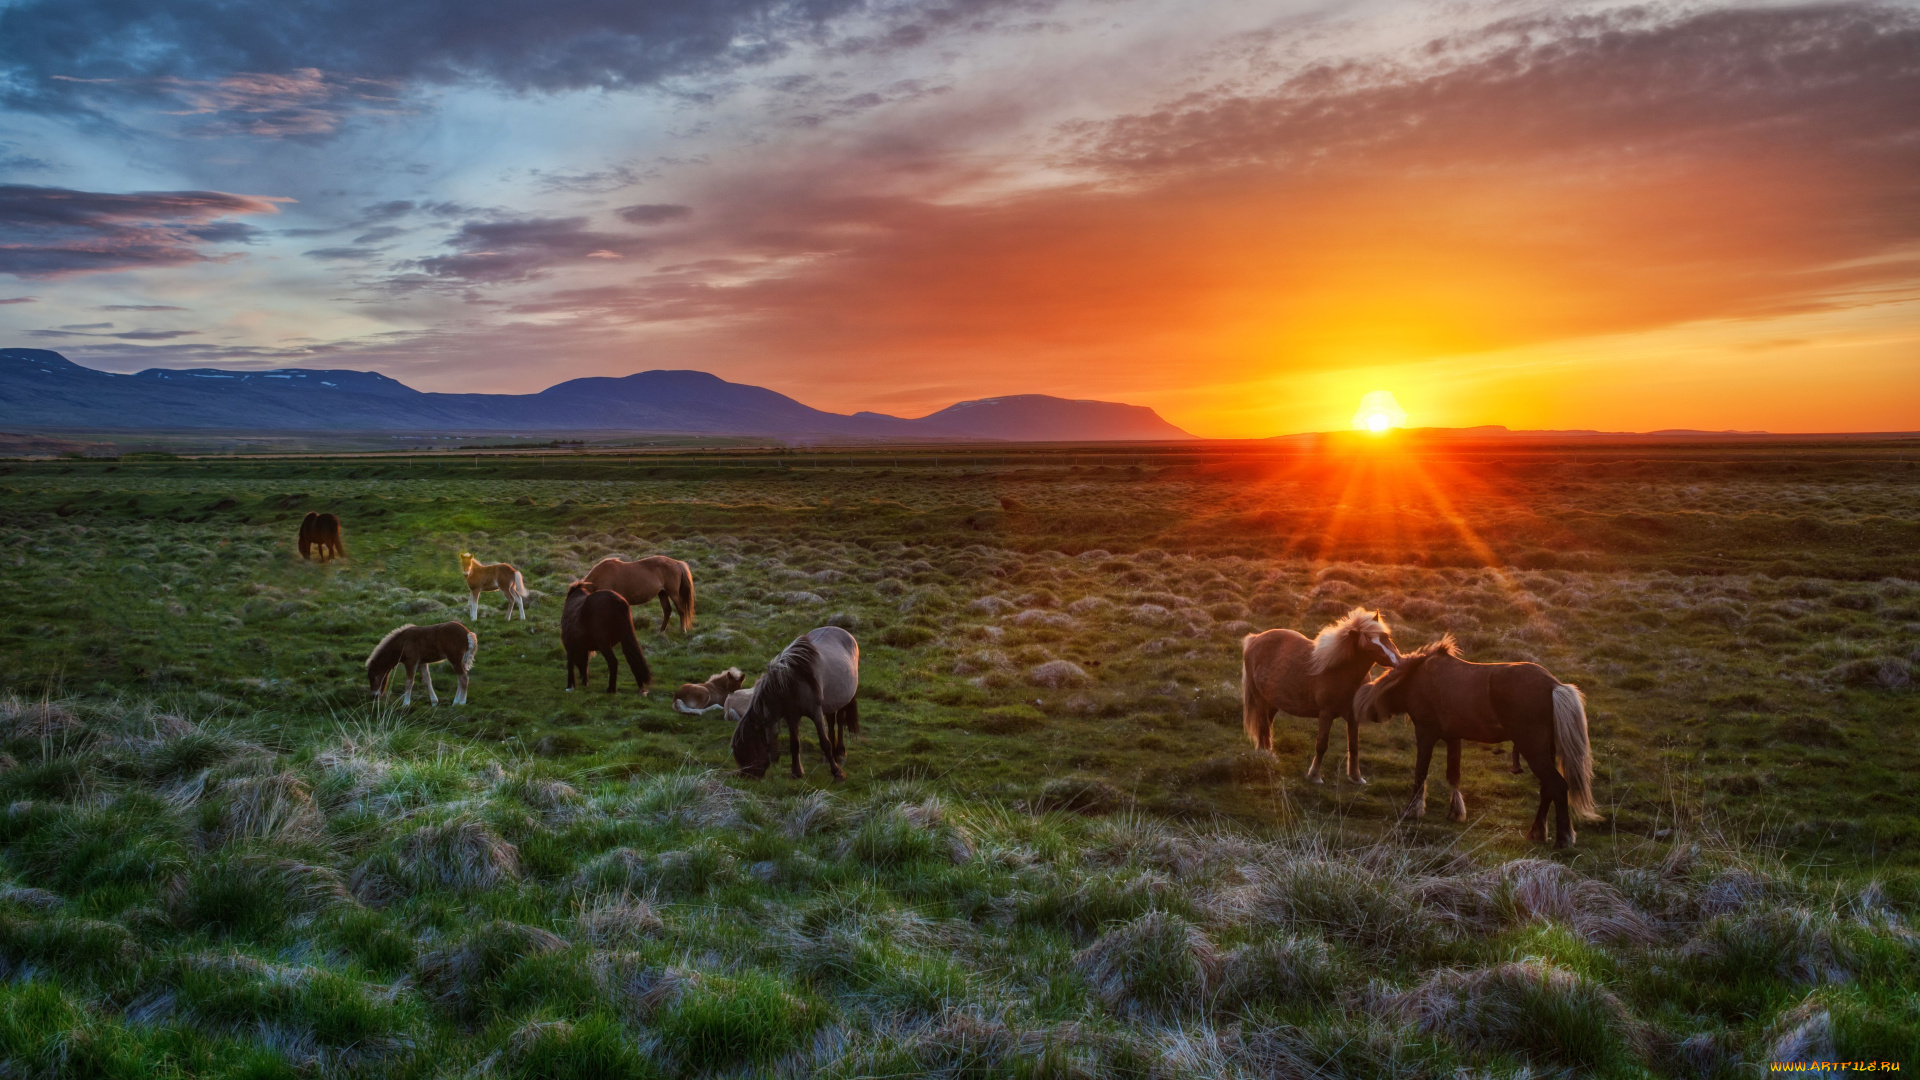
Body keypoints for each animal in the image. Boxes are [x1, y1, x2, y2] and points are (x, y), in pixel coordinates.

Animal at [731, 626, 859, 781]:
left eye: (751, 747)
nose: (746, 777)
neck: (792, 683)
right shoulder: (791, 717)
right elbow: (794, 744)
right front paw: (797, 772)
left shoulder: (816, 713)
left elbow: (825, 743)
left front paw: (837, 772)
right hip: (831, 701)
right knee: (830, 720)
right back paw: (829, 756)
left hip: (843, 699)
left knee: (840, 720)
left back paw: (839, 752)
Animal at [1241, 607, 1403, 784]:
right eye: (1368, 647)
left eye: (1386, 637)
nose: (1399, 663)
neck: (1341, 671)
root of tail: (1255, 639)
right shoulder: (1326, 714)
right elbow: (1322, 744)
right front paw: (1314, 776)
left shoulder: (1353, 717)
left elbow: (1354, 746)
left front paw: (1356, 777)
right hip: (1260, 700)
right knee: (1264, 727)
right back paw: (1268, 757)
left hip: (1272, 703)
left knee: (1266, 727)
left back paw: (1263, 754)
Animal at [1354, 635, 1598, 848]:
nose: (1372, 714)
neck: (1417, 678)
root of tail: (1554, 686)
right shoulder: (1453, 737)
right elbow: (1453, 776)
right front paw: (1456, 811)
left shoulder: (1425, 733)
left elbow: (1420, 774)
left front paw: (1412, 811)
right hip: (1546, 751)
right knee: (1547, 788)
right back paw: (1537, 832)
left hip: (1533, 749)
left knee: (1557, 786)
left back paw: (1563, 839)